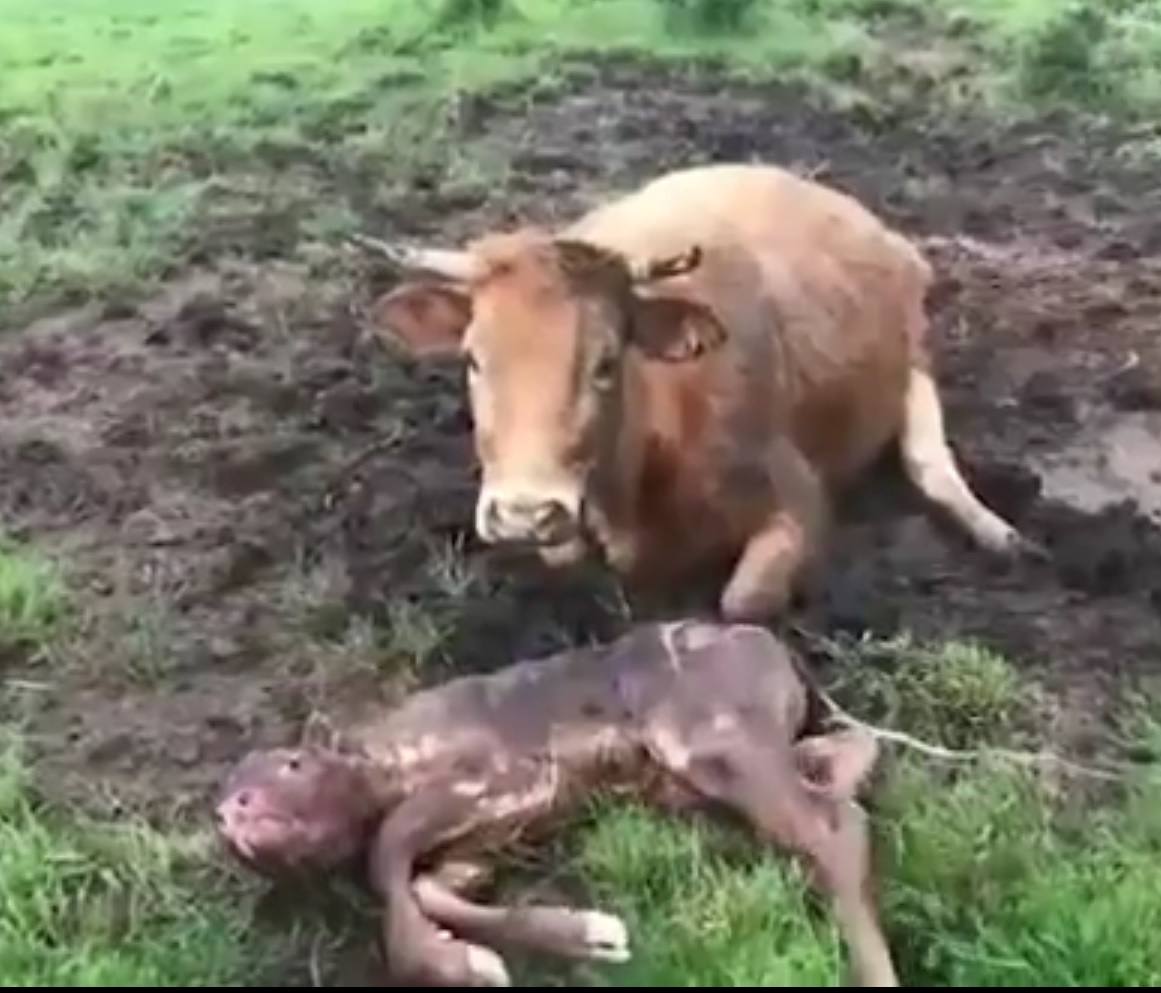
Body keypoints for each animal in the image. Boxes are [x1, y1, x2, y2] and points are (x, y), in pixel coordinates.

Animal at [353, 163, 1036, 621]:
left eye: (606, 362)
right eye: (473, 359)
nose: (524, 513)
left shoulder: (798, 495)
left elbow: (742, 601)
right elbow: (567, 558)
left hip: (914, 355)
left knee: (928, 457)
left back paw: (998, 532)